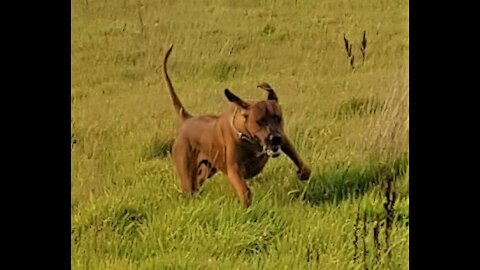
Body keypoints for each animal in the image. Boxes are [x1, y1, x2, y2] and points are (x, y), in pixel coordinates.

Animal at [162, 46, 312, 207]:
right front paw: (246, 207)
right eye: (260, 121)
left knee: (199, 181)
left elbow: (295, 155)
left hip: (208, 169)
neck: (250, 138)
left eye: (278, 118)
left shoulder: (283, 138)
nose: (275, 138)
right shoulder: (234, 169)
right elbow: (244, 190)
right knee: (190, 188)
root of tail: (187, 119)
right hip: (186, 172)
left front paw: (304, 172)